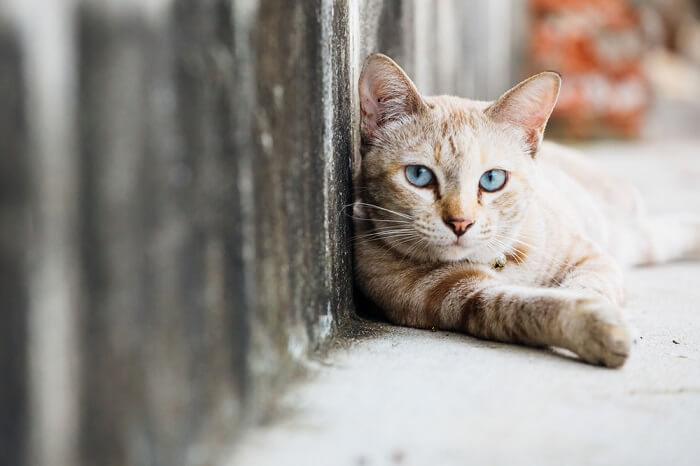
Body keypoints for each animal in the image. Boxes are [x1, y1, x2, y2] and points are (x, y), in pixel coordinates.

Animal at [356, 53, 700, 368]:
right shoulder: (467, 297)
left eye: (492, 180)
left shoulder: (591, 257)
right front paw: (597, 327)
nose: (461, 223)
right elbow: (527, 306)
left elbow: (586, 287)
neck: (498, 261)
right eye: (419, 176)